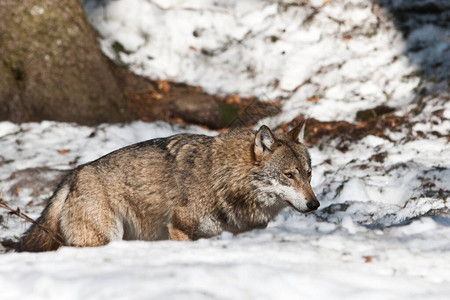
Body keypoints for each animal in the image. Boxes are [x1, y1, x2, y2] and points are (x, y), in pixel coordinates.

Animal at [18, 120, 320, 252]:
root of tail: (73, 175)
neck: (222, 179)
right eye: (288, 175)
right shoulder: (180, 230)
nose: (315, 204)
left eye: (308, 175)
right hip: (104, 238)